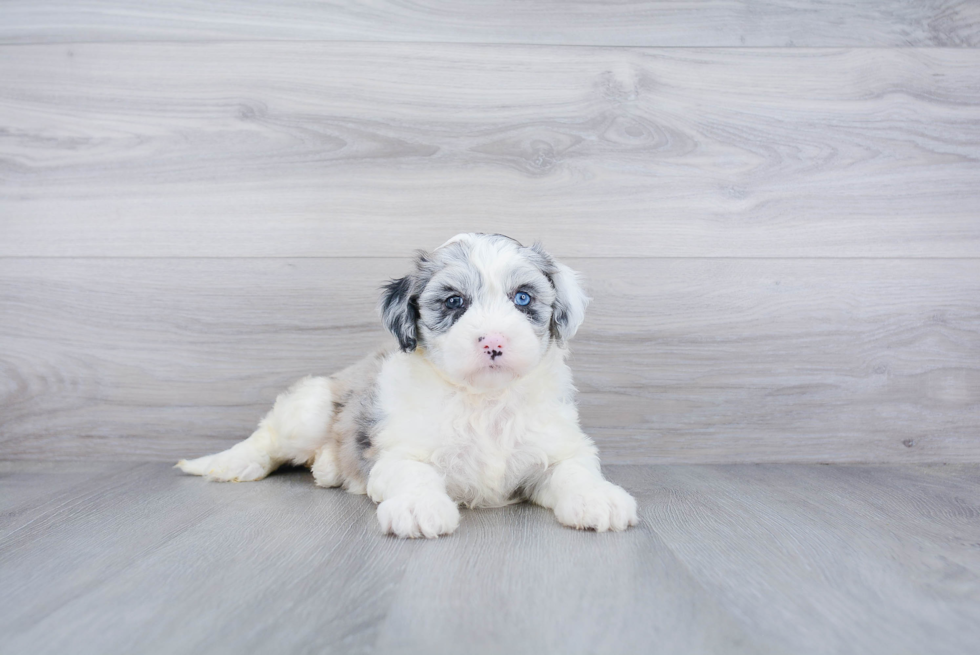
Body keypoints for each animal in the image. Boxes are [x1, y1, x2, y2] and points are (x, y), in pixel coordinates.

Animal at [177, 234, 640, 540]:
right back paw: (229, 464)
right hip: (311, 409)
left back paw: (328, 468)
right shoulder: (399, 451)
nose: (493, 341)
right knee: (268, 437)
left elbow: (574, 470)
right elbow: (413, 473)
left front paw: (598, 499)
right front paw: (420, 507)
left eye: (523, 298)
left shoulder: (558, 446)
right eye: (454, 302)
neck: (483, 400)